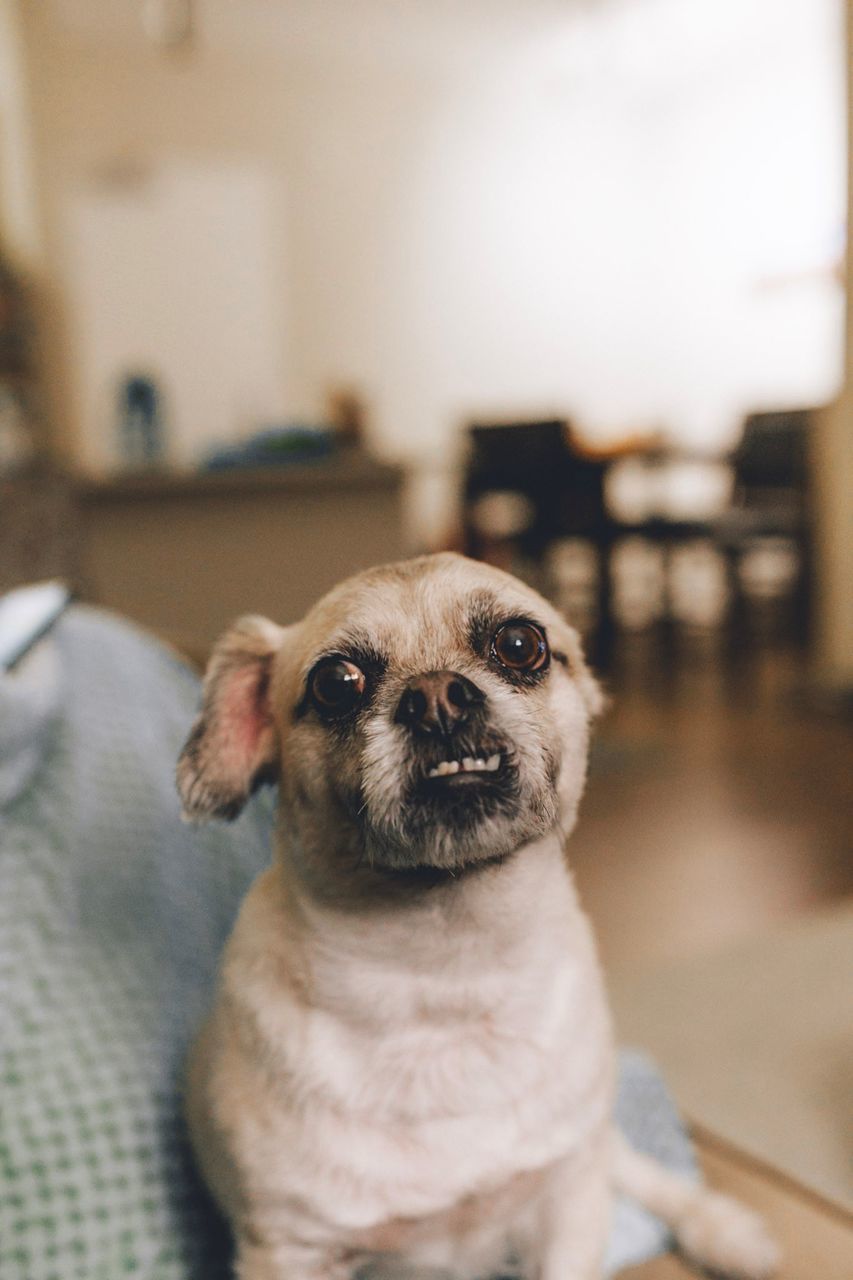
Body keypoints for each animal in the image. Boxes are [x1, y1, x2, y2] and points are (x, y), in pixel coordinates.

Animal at [178, 552, 778, 1280]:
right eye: (335, 684)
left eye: (520, 644)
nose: (436, 693)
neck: (448, 976)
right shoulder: (290, 1250)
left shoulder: (568, 1199)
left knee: (638, 1170)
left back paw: (724, 1230)